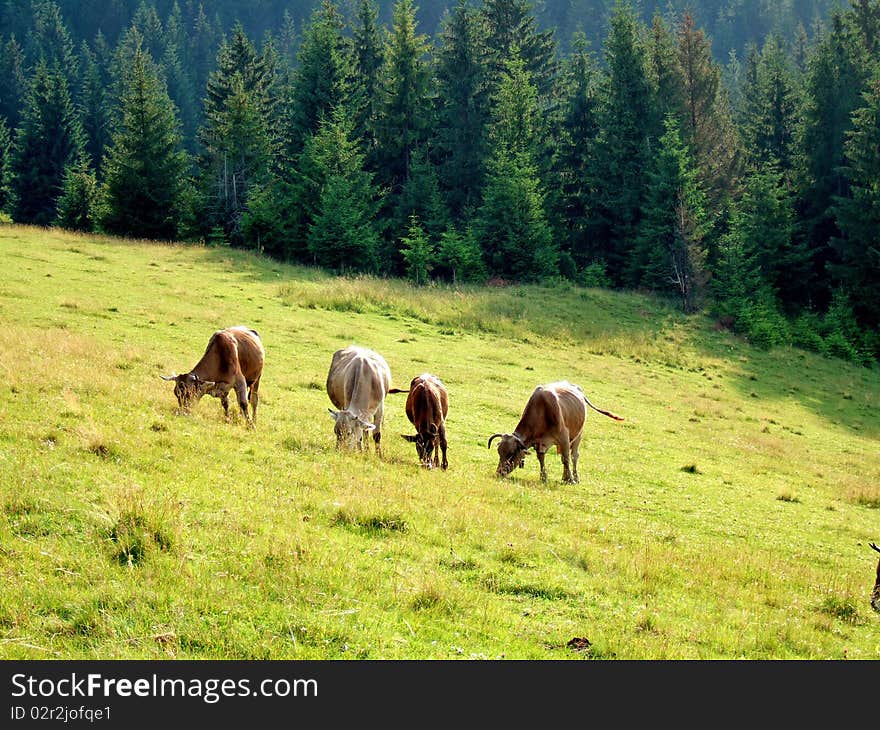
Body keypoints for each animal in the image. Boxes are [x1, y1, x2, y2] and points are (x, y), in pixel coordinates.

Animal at [484, 382, 624, 484]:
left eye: (512, 454)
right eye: (499, 452)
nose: (499, 473)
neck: (541, 411)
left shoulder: (564, 438)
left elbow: (566, 459)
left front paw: (571, 480)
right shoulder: (540, 443)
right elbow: (542, 459)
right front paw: (544, 477)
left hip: (578, 435)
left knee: (574, 456)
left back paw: (574, 477)